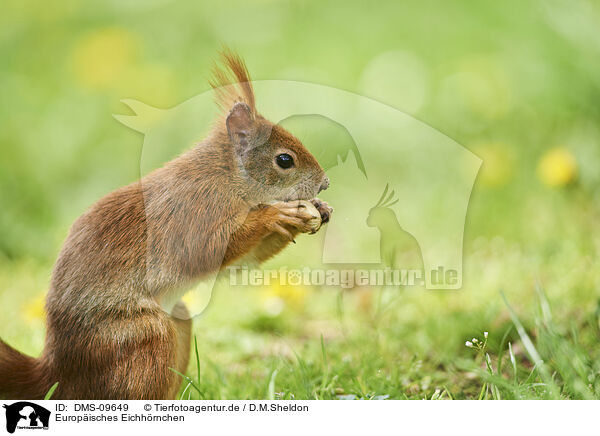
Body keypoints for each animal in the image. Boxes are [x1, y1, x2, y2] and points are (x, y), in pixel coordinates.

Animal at [0, 50, 332, 398]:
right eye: (285, 160)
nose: (324, 184)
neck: (226, 177)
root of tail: (60, 373)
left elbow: (239, 263)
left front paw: (317, 211)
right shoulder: (195, 213)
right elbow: (207, 250)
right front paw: (275, 215)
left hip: (178, 320)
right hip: (143, 334)